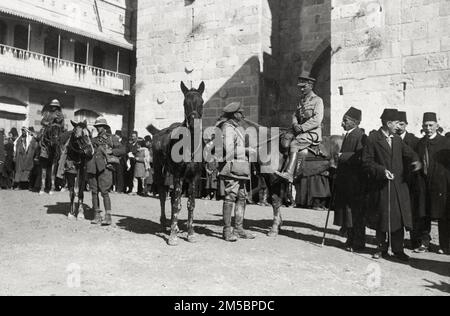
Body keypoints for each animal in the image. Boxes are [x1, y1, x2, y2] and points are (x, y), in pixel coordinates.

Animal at [149, 80, 205, 246]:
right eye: (185, 103)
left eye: (201, 102)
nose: (193, 123)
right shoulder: (178, 175)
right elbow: (176, 203)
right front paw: (173, 235)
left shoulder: (194, 177)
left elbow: (190, 204)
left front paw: (190, 233)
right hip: (160, 171)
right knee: (162, 194)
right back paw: (163, 221)